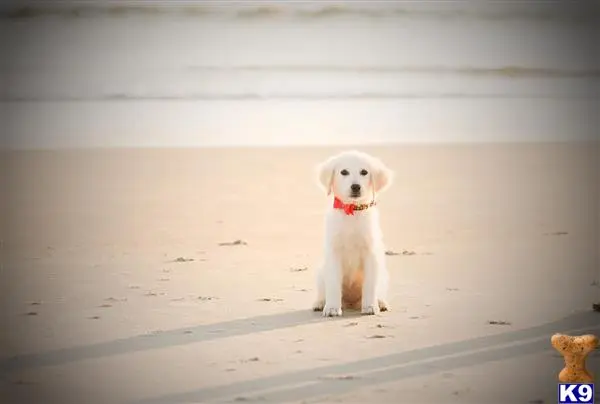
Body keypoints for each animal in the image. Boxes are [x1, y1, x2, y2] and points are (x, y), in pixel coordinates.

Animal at [314, 150, 394, 318]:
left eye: (364, 172)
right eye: (344, 172)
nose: (356, 187)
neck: (351, 211)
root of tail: (351, 303)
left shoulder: (371, 254)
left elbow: (370, 284)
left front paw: (370, 306)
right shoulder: (333, 253)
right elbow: (333, 284)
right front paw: (332, 308)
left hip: (384, 274)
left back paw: (381, 302)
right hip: (320, 272)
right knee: (323, 291)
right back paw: (320, 303)